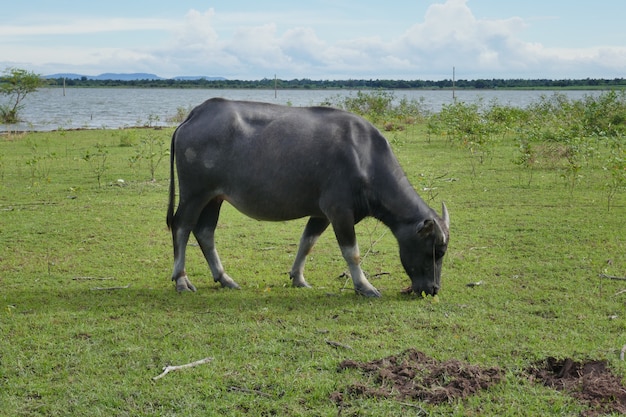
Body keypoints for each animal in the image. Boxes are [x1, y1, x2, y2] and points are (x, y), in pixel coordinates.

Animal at [167, 97, 448, 296]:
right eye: (435, 250)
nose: (433, 289)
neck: (365, 157)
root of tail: (197, 113)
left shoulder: (321, 214)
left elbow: (307, 242)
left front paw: (298, 278)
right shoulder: (339, 211)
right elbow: (352, 252)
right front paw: (365, 286)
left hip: (214, 197)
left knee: (205, 231)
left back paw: (225, 279)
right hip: (194, 193)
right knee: (182, 225)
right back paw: (181, 280)